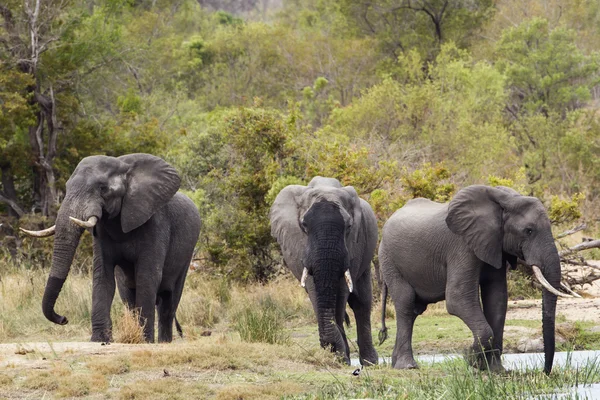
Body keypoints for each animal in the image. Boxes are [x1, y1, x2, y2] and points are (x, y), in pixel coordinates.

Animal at [20, 155, 202, 342]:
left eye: (103, 188)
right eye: (67, 187)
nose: (63, 319)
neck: (124, 166)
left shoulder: (155, 223)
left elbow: (147, 276)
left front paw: (144, 340)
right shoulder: (101, 232)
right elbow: (103, 275)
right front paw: (100, 340)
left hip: (187, 253)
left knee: (169, 302)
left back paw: (163, 342)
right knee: (129, 297)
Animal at [272, 177, 380, 364]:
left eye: (349, 226)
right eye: (304, 225)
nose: (330, 347)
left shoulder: (354, 244)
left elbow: (341, 292)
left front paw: (340, 357)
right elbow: (314, 290)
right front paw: (337, 355)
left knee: (362, 302)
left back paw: (370, 362)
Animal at [380, 186, 572, 374]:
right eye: (529, 231)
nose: (545, 372)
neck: (504, 199)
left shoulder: (494, 244)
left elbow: (497, 300)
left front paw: (496, 370)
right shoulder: (461, 246)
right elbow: (457, 298)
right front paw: (470, 359)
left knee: (414, 310)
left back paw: (396, 363)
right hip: (389, 260)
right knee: (405, 303)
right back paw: (407, 366)